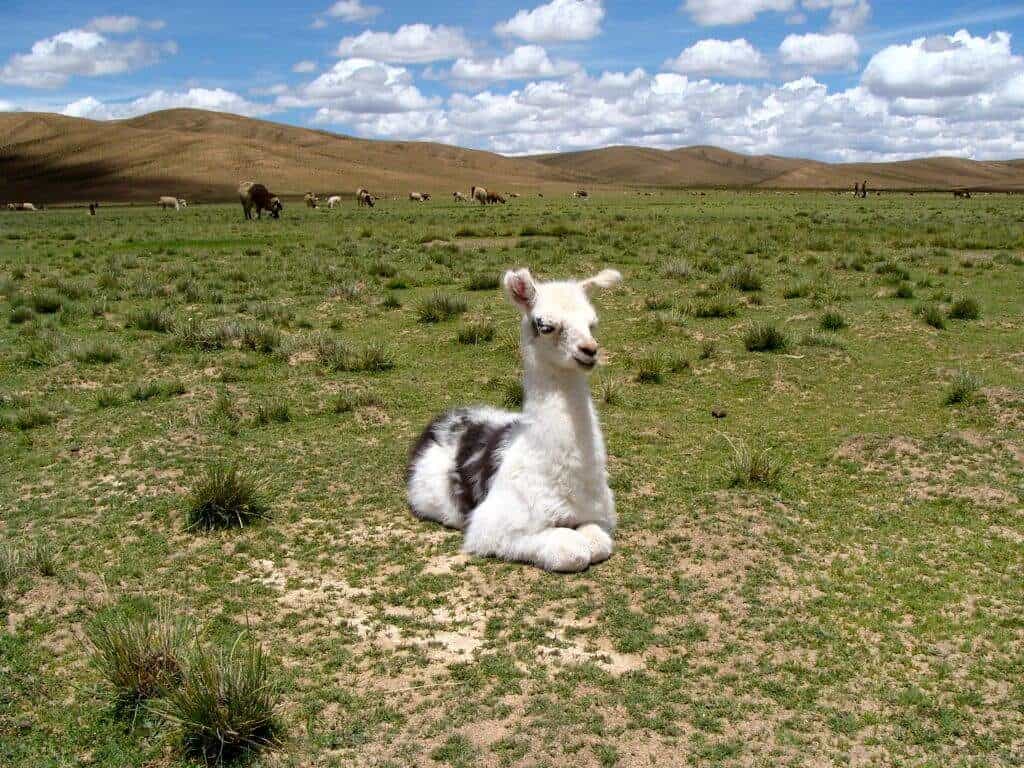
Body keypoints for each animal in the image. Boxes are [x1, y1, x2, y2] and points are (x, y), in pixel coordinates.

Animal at [407, 268, 622, 573]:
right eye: (545, 325)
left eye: (592, 324)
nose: (589, 350)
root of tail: (444, 419)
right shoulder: (492, 524)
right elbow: (572, 551)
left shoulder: (599, 514)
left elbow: (598, 542)